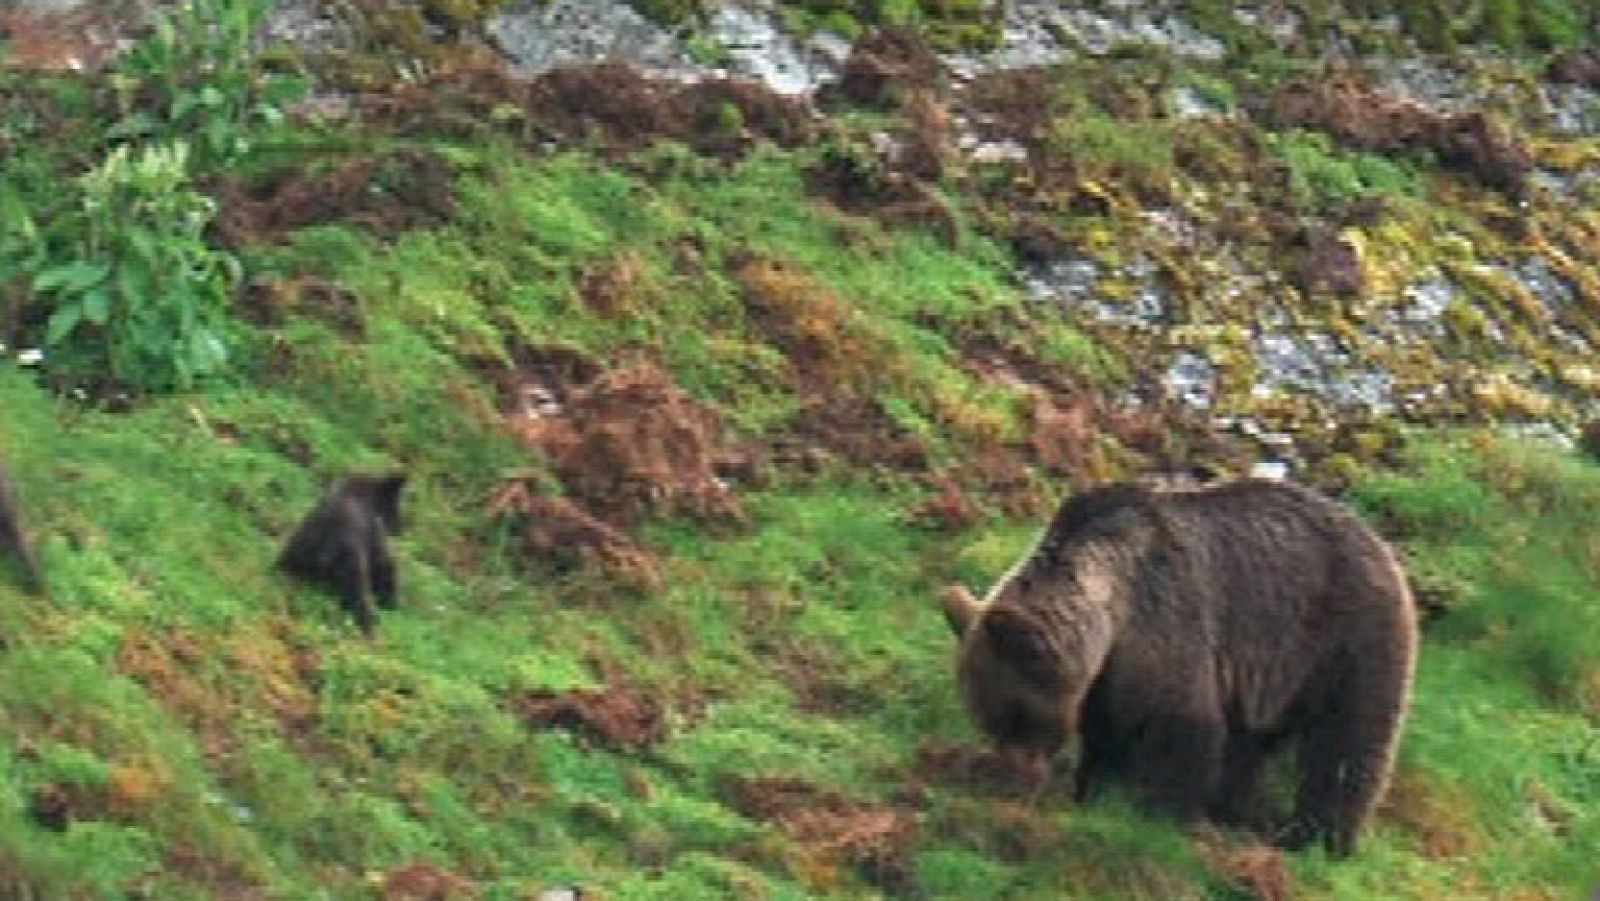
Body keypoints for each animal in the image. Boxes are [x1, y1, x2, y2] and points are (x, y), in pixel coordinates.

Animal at [941, 477, 1417, 858]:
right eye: (985, 716)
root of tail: (1381, 544)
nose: (1012, 776)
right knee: (1248, 745)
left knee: (1347, 741)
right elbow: (1109, 731)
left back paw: (1320, 839)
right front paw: (1094, 790)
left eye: (1017, 714)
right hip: (1273, 674)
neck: (1112, 610)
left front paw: (1162, 814)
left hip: (1347, 636)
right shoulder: (1112, 670)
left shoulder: (1167, 617)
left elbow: (1179, 723)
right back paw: (1230, 810)